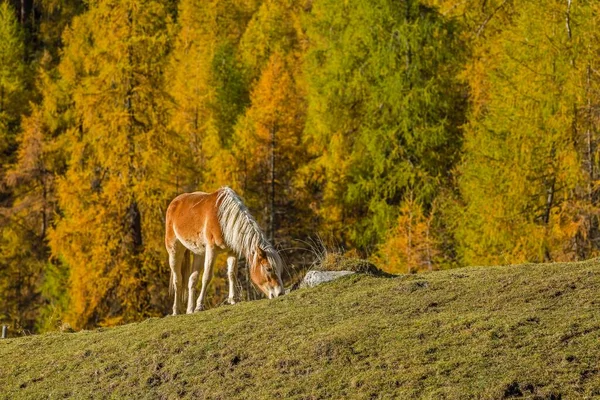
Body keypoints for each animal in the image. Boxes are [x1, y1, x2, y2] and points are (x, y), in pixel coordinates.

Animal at [164, 186, 286, 314]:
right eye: (268, 269)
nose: (280, 293)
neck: (222, 219)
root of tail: (175, 202)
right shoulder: (211, 249)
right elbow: (207, 277)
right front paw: (199, 306)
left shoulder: (232, 252)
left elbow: (232, 274)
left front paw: (233, 300)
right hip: (174, 250)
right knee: (177, 280)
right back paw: (176, 311)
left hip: (199, 253)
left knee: (192, 280)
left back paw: (189, 310)